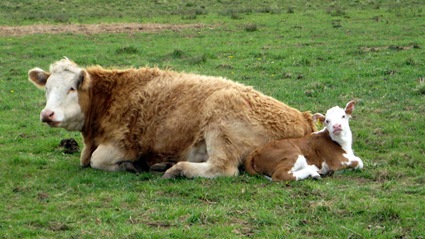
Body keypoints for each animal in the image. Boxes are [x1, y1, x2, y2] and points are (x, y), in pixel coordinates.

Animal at [28, 57, 314, 177]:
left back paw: (177, 169)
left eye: (71, 88)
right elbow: (84, 160)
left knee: (223, 168)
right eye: (47, 88)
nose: (47, 114)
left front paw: (131, 166)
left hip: (220, 122)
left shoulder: (122, 145)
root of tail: (302, 117)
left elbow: (96, 161)